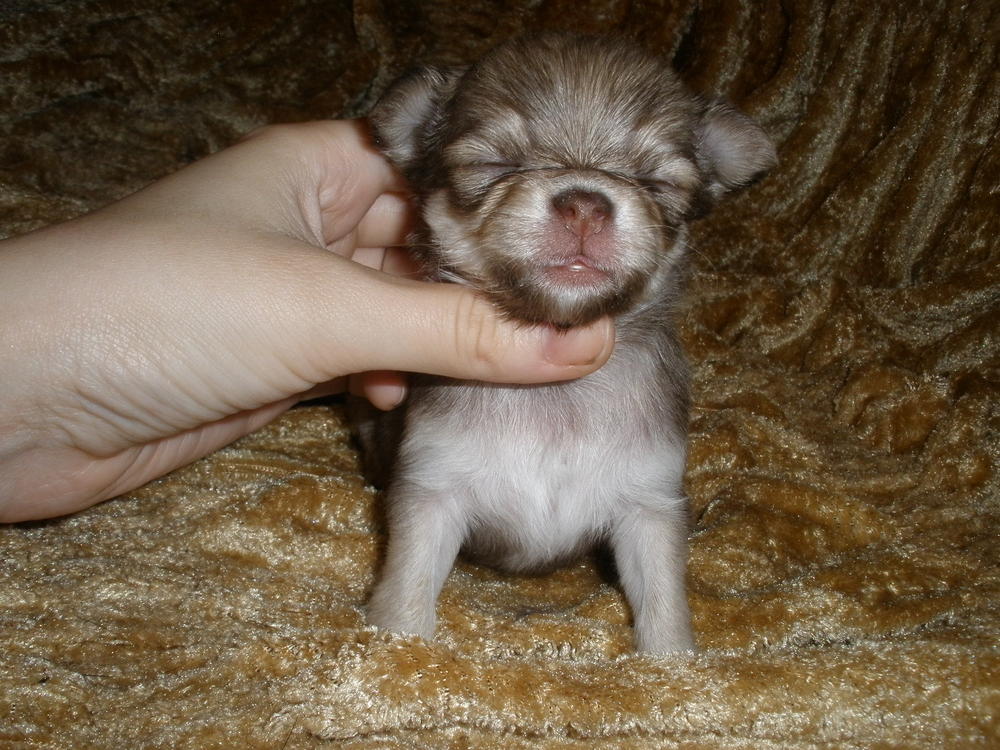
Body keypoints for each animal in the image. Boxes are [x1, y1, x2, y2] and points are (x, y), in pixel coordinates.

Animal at [355, 33, 775, 653]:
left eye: (655, 184)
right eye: (496, 166)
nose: (585, 203)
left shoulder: (649, 504)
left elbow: (663, 602)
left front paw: (673, 663)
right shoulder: (431, 490)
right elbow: (407, 587)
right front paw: (397, 648)